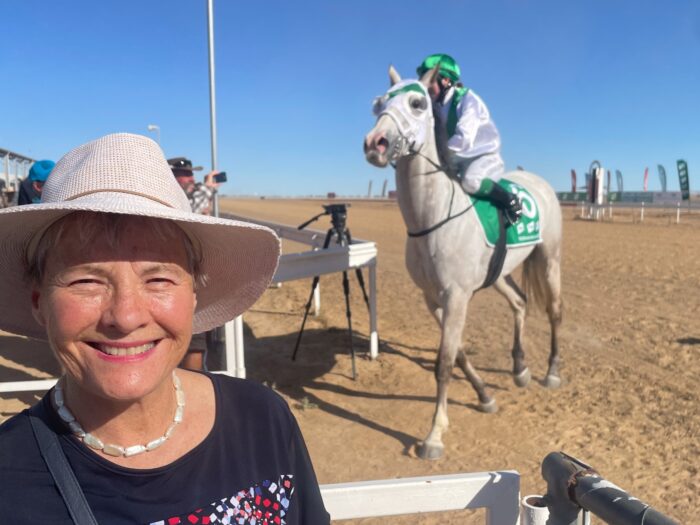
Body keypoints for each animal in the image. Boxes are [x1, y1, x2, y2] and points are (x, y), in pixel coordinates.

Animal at [364, 66, 560, 458]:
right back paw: (520, 369)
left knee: (555, 311)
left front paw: (433, 435)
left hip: (550, 258)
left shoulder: (456, 296)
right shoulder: (434, 297)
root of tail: (537, 179)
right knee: (520, 303)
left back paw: (550, 372)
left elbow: (443, 362)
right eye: (379, 103)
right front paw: (485, 395)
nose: (374, 143)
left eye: (417, 102)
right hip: (499, 273)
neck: (434, 217)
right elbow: (457, 353)